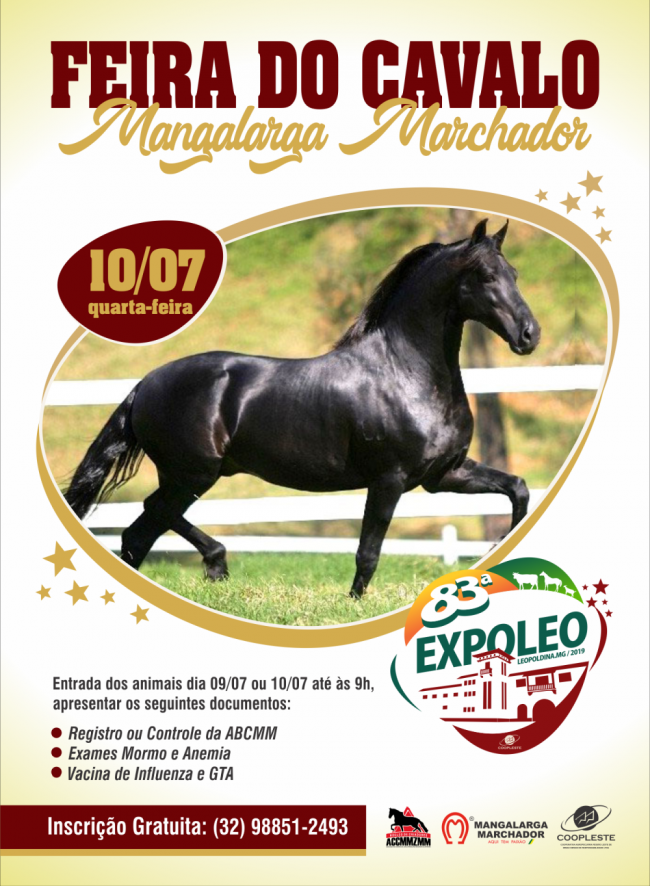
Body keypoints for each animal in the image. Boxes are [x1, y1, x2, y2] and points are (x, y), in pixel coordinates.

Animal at [64, 218, 540, 598]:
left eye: (514, 273)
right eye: (485, 276)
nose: (529, 335)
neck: (405, 374)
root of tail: (144, 384)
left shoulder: (444, 475)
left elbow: (517, 488)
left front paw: (497, 548)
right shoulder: (388, 481)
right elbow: (368, 553)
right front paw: (353, 605)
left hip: (187, 475)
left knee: (145, 525)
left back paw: (211, 568)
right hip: (194, 473)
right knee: (148, 521)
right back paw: (215, 565)